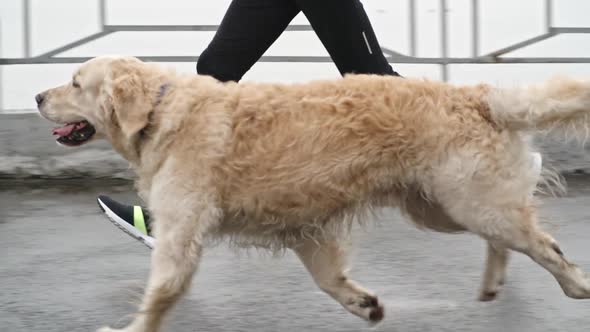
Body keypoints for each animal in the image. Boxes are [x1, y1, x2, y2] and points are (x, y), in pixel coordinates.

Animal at [35, 55, 590, 330]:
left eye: (75, 82)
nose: (38, 95)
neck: (160, 111)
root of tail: (477, 94)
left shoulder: (180, 237)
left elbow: (158, 296)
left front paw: (131, 328)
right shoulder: (304, 229)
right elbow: (328, 279)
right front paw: (364, 305)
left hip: (467, 203)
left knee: (543, 243)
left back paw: (576, 285)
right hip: (439, 207)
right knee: (510, 231)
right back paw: (493, 283)